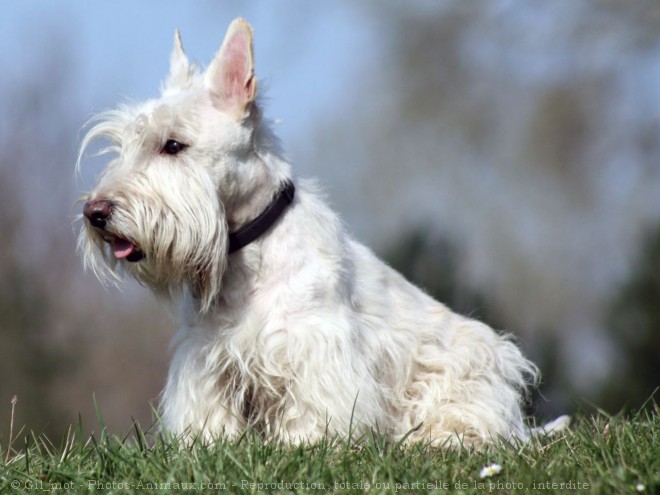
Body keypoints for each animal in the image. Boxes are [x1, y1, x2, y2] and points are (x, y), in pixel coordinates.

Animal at [77, 19, 564, 448]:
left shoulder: (317, 347)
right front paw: (207, 445)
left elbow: (315, 409)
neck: (246, 256)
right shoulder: (205, 358)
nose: (95, 212)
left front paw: (308, 443)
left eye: (173, 145)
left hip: (468, 366)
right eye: (123, 145)